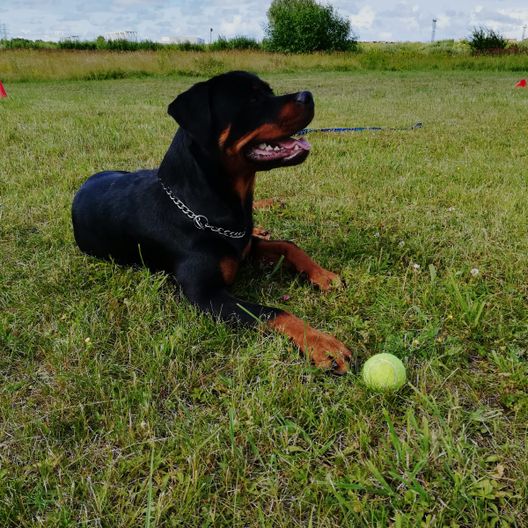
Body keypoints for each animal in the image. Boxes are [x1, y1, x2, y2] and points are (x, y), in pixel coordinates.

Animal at [70, 71, 350, 372]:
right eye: (252, 99)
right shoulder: (206, 295)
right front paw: (323, 345)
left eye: (269, 91)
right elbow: (273, 312)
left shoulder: (243, 244)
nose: (308, 95)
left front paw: (324, 276)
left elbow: (289, 245)